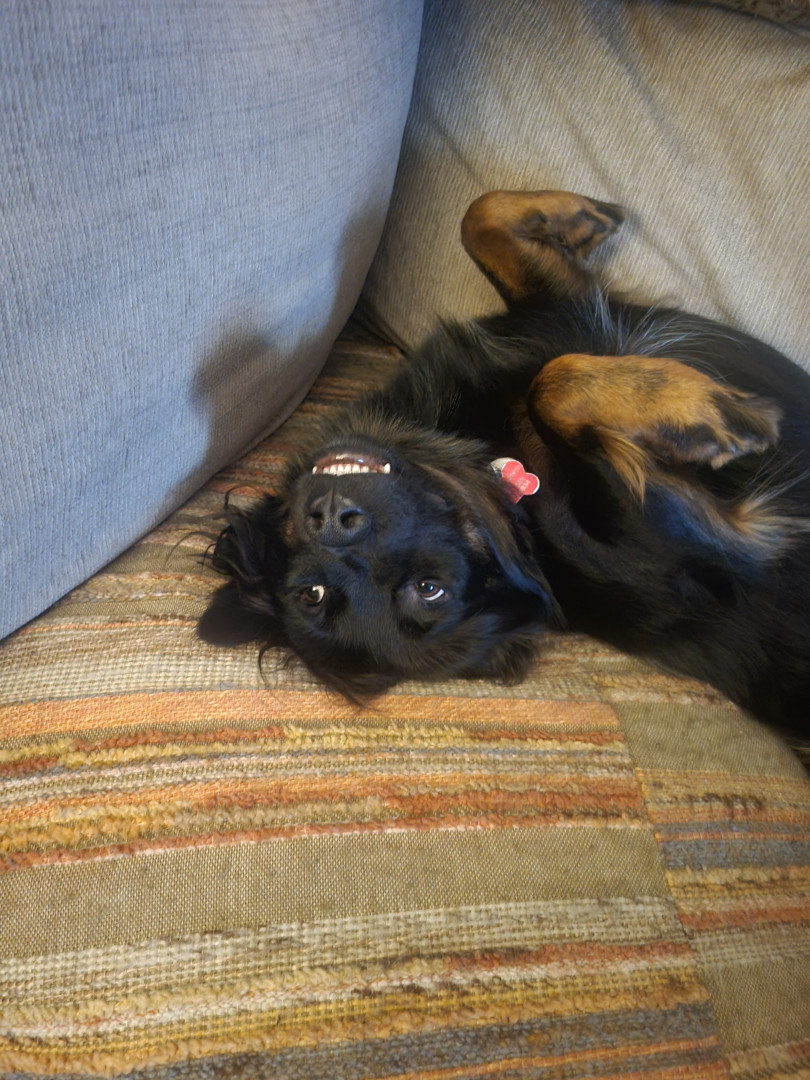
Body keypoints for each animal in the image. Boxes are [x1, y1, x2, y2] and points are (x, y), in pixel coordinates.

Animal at [198, 190, 810, 749]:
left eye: (311, 594)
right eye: (430, 589)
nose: (330, 517)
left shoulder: (560, 313)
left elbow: (480, 217)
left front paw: (582, 215)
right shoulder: (708, 542)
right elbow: (553, 387)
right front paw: (707, 416)